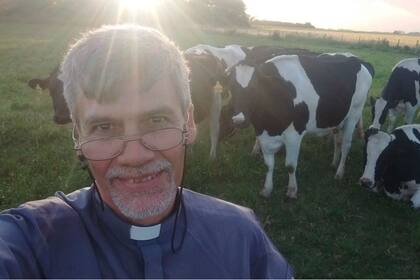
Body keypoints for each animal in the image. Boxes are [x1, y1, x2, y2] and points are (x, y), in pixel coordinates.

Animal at [226, 53, 374, 198]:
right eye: (232, 88)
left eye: (254, 88)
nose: (238, 120)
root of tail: (359, 61)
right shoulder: (263, 134)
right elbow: (268, 165)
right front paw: (267, 189)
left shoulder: (294, 135)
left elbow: (290, 166)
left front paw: (292, 190)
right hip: (337, 119)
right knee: (337, 141)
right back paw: (334, 163)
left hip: (354, 114)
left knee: (346, 145)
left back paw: (339, 173)